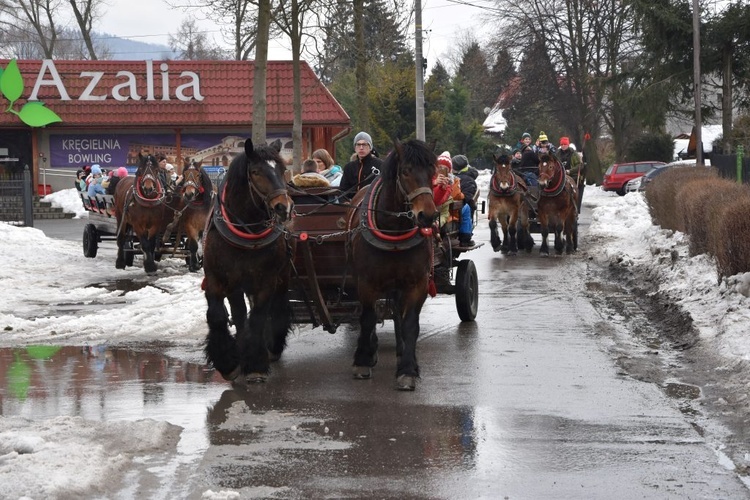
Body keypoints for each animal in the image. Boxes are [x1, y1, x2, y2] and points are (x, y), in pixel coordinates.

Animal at [203, 139, 296, 384]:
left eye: (282, 169)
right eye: (255, 172)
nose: (283, 207)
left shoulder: (266, 281)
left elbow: (258, 317)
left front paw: (255, 364)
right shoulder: (219, 279)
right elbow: (220, 316)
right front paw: (228, 362)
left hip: (282, 276)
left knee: (277, 307)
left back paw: (272, 346)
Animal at [346, 138, 440, 390]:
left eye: (432, 172)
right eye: (406, 171)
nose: (428, 216)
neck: (394, 231)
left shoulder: (417, 283)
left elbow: (410, 323)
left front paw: (408, 369)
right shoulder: (366, 282)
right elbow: (368, 318)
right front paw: (362, 360)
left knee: (398, 313)